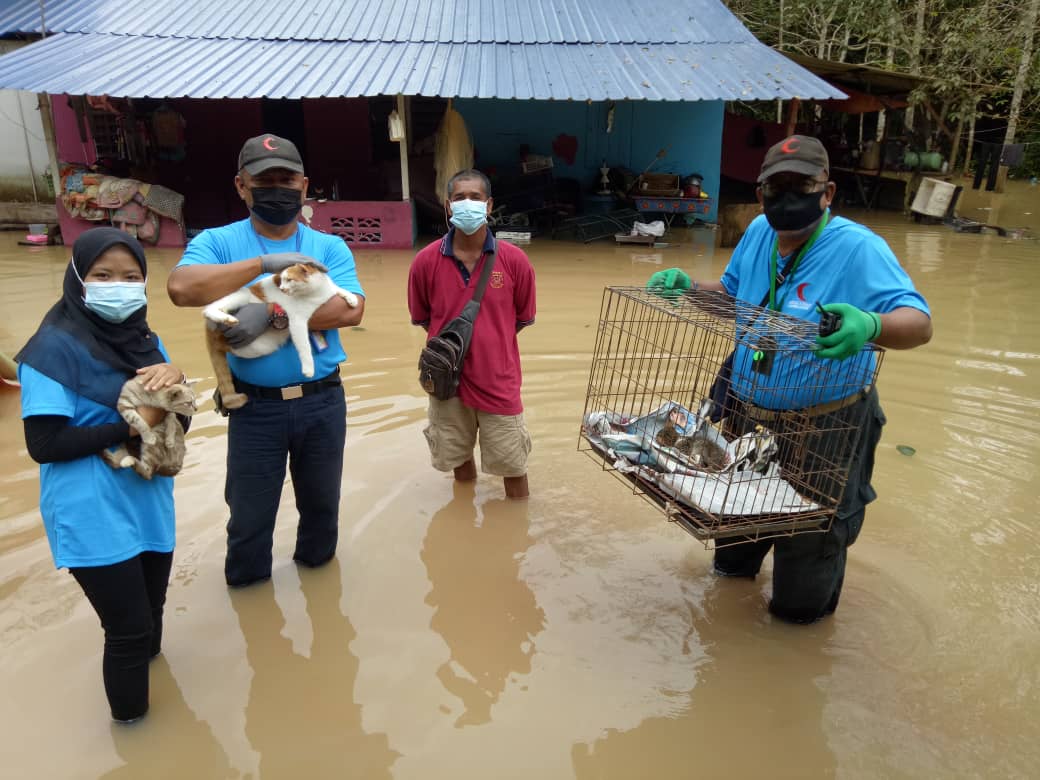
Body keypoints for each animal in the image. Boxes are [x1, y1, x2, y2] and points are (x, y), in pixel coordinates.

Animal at [202, 263, 361, 409]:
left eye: (289, 280)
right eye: (281, 281)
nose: (282, 289)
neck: (315, 293)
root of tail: (210, 330)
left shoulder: (328, 291)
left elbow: (339, 289)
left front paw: (352, 298)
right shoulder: (297, 322)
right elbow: (305, 348)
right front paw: (308, 369)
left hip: (263, 346)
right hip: (241, 298)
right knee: (210, 310)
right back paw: (227, 319)